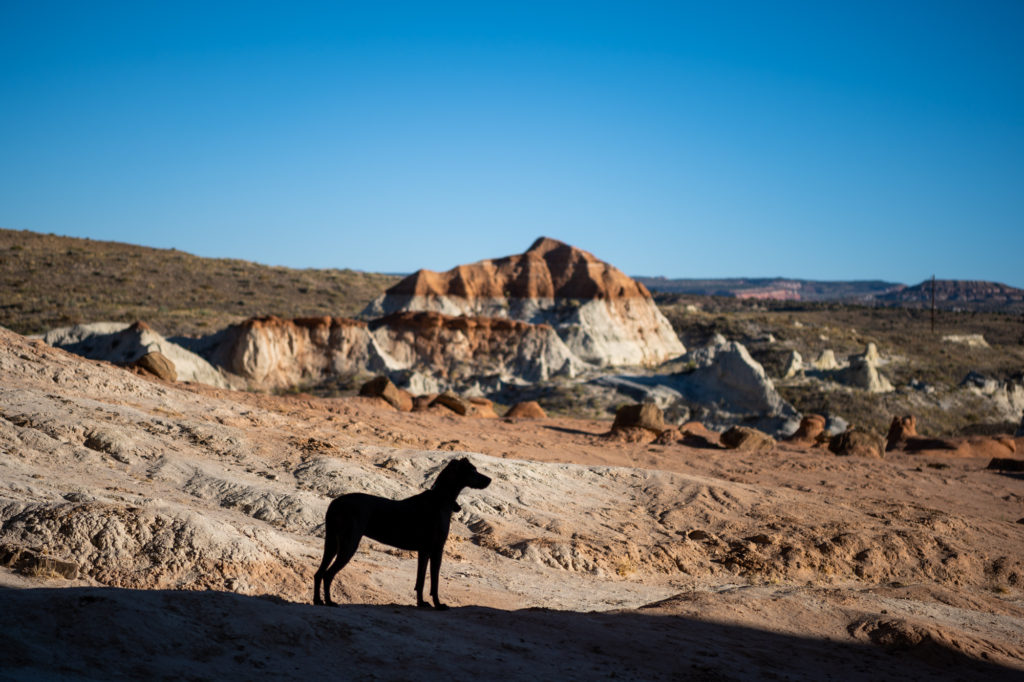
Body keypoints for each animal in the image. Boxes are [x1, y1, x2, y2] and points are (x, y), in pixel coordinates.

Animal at [309, 454, 489, 606]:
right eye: (473, 471)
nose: (490, 479)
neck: (440, 498)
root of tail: (334, 503)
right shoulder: (437, 550)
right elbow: (434, 582)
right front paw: (438, 605)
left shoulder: (424, 552)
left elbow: (420, 580)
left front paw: (421, 603)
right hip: (348, 544)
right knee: (328, 574)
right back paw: (329, 602)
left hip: (332, 543)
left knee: (319, 573)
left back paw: (318, 601)